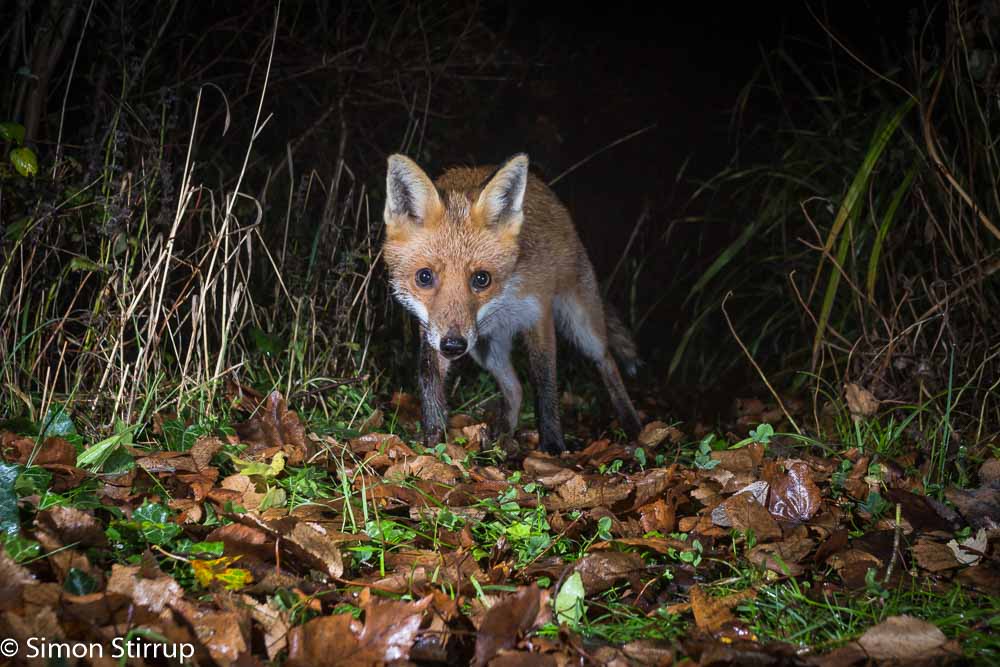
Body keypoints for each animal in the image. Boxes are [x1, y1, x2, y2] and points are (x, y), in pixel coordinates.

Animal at [382, 153, 643, 454]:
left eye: (481, 279)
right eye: (424, 277)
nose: (454, 346)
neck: (503, 300)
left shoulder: (538, 315)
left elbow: (545, 383)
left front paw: (553, 445)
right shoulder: (434, 329)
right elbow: (428, 377)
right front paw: (434, 438)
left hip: (582, 325)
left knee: (606, 359)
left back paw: (631, 422)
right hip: (485, 349)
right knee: (515, 388)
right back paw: (502, 437)